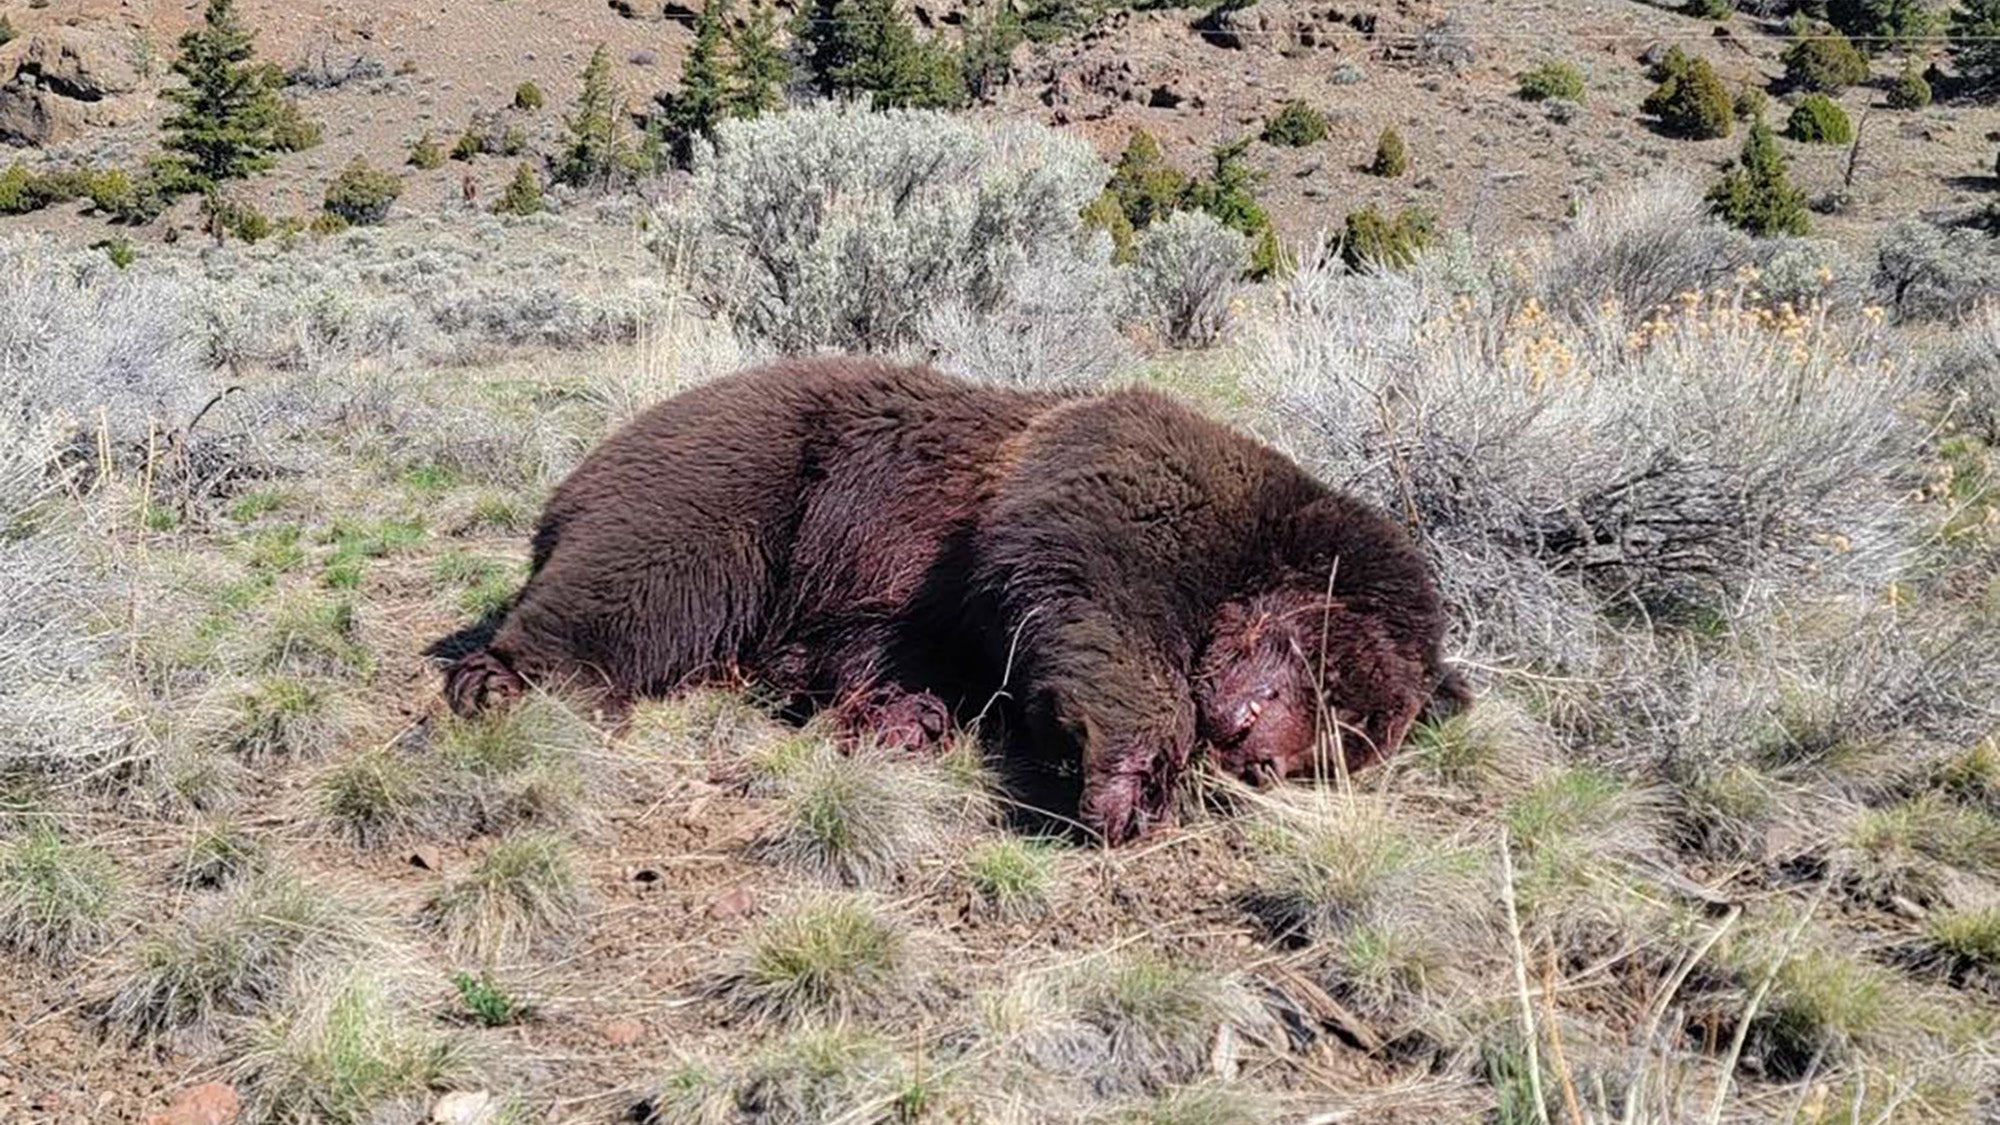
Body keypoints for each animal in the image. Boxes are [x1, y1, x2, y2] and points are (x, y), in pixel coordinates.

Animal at [442, 358, 1472, 840]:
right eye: (1324, 677)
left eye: (1347, 742)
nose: (1259, 753)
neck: (1249, 546)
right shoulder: (1115, 481)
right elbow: (1092, 602)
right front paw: (1130, 778)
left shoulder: (919, 609)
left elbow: (918, 654)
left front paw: (902, 717)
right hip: (750, 475)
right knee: (647, 572)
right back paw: (508, 681)